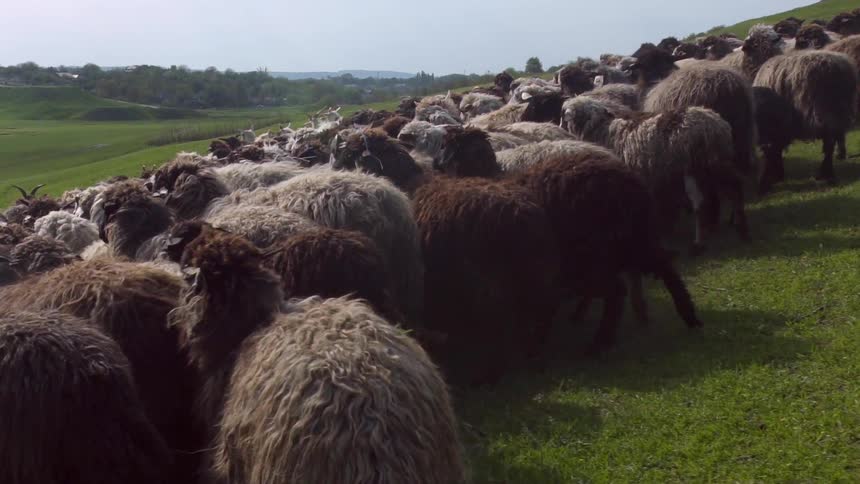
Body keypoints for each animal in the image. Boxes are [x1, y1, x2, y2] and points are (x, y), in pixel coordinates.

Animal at [563, 96, 750, 251]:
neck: (600, 129)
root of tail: (718, 123)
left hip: (700, 166)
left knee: (715, 196)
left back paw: (709, 239)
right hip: (712, 165)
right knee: (732, 186)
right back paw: (735, 224)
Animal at [753, 49, 858, 182]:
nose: (765, 178)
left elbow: (776, 148)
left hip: (820, 110)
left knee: (829, 142)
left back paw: (825, 173)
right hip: (839, 111)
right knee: (834, 138)